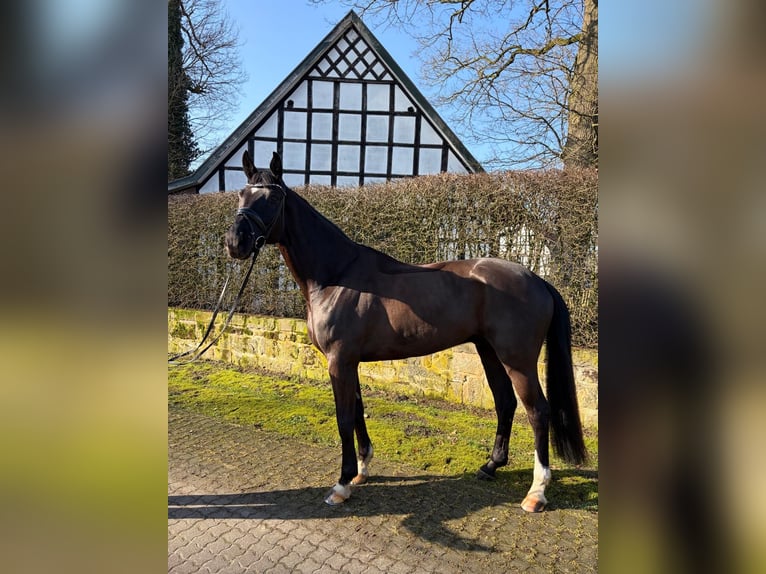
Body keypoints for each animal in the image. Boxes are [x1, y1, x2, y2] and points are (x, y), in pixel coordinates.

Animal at [224, 151, 587, 511]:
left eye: (273, 199)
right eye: (241, 194)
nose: (235, 243)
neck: (336, 276)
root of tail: (537, 279)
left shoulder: (339, 361)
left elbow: (344, 418)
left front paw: (341, 485)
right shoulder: (350, 362)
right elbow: (357, 411)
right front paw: (361, 470)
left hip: (518, 360)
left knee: (537, 411)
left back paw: (536, 493)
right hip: (489, 351)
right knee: (505, 402)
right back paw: (490, 466)